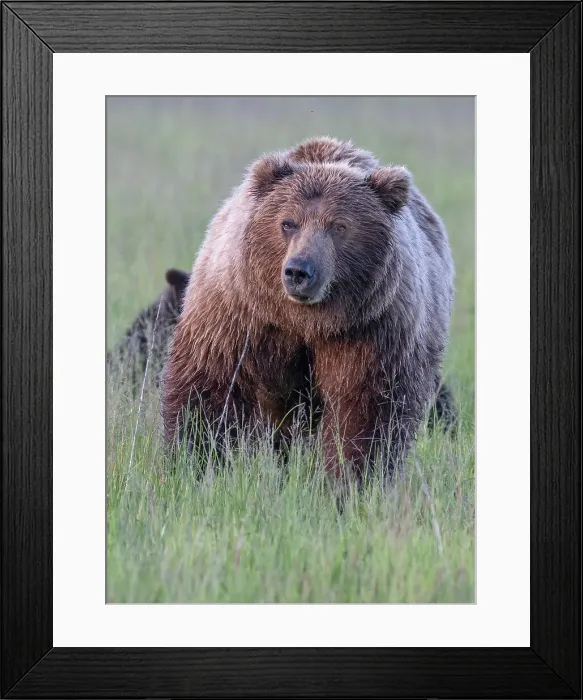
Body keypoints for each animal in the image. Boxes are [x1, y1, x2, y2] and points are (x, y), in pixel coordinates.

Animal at [162, 136, 455, 485]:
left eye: (339, 226)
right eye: (288, 223)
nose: (299, 271)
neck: (305, 321)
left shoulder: (371, 328)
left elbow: (365, 407)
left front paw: (350, 479)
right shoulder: (237, 314)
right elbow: (208, 389)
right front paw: (193, 463)